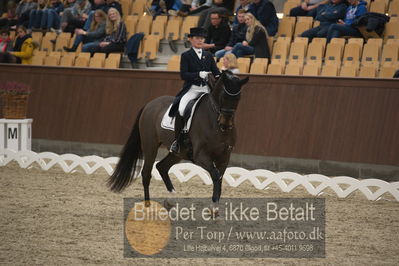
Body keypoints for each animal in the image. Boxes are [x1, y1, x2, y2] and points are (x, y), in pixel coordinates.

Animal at [108, 71, 248, 208]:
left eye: (238, 98)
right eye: (224, 96)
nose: (225, 124)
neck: (216, 124)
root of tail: (149, 104)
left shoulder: (225, 156)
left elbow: (219, 177)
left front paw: (215, 206)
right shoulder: (200, 156)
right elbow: (215, 174)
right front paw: (214, 207)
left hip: (178, 153)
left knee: (161, 166)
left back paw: (171, 198)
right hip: (150, 145)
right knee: (146, 173)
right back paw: (148, 205)